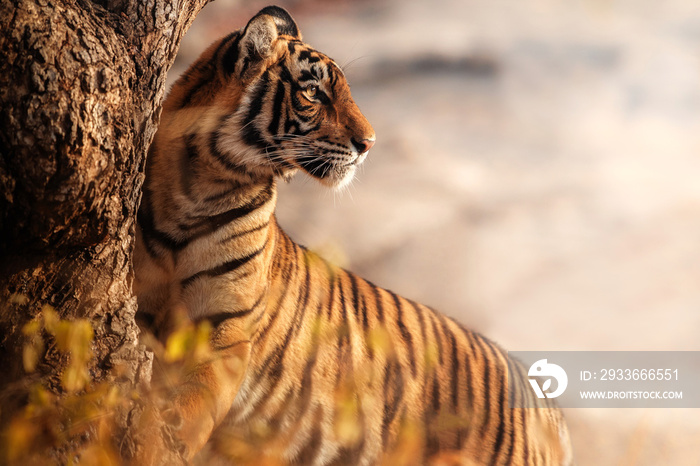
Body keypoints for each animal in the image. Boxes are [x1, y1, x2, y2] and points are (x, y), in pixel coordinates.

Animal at [133, 4, 576, 466]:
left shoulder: (226, 333)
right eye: (314, 93)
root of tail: (547, 403)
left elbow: (190, 410)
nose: (370, 143)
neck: (198, 188)